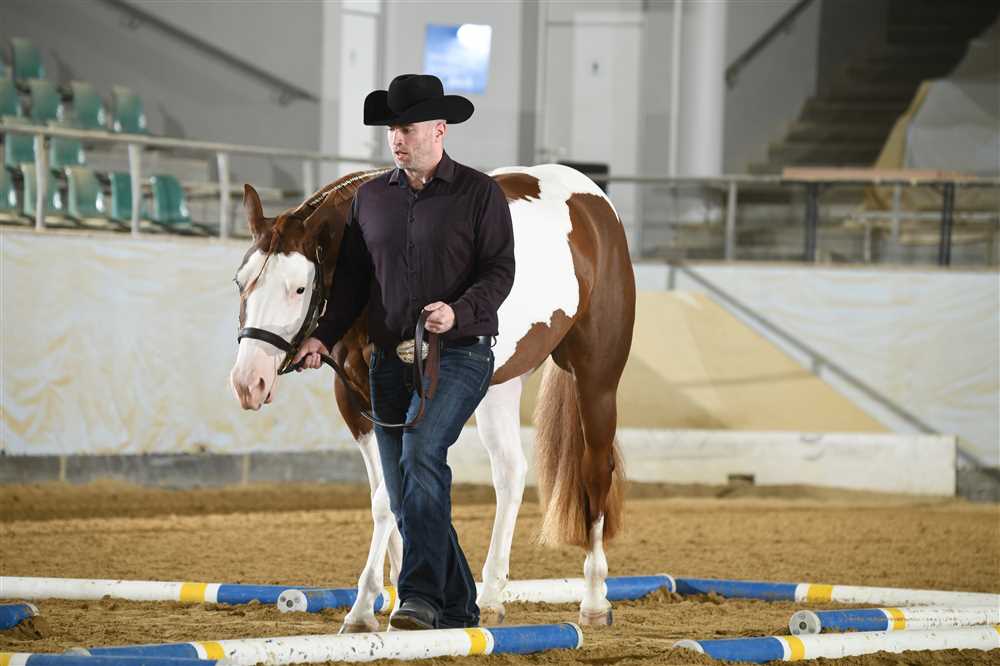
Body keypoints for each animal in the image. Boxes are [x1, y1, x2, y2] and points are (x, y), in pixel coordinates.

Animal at [229, 163, 635, 631]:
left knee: (595, 471)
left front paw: (363, 609)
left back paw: (594, 599)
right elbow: (388, 495)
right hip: (500, 385)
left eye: (298, 288)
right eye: (241, 282)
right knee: (510, 472)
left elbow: (387, 500)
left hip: (597, 380)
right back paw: (491, 597)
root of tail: (593, 200)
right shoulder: (359, 404)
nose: (248, 382)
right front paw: (398, 599)